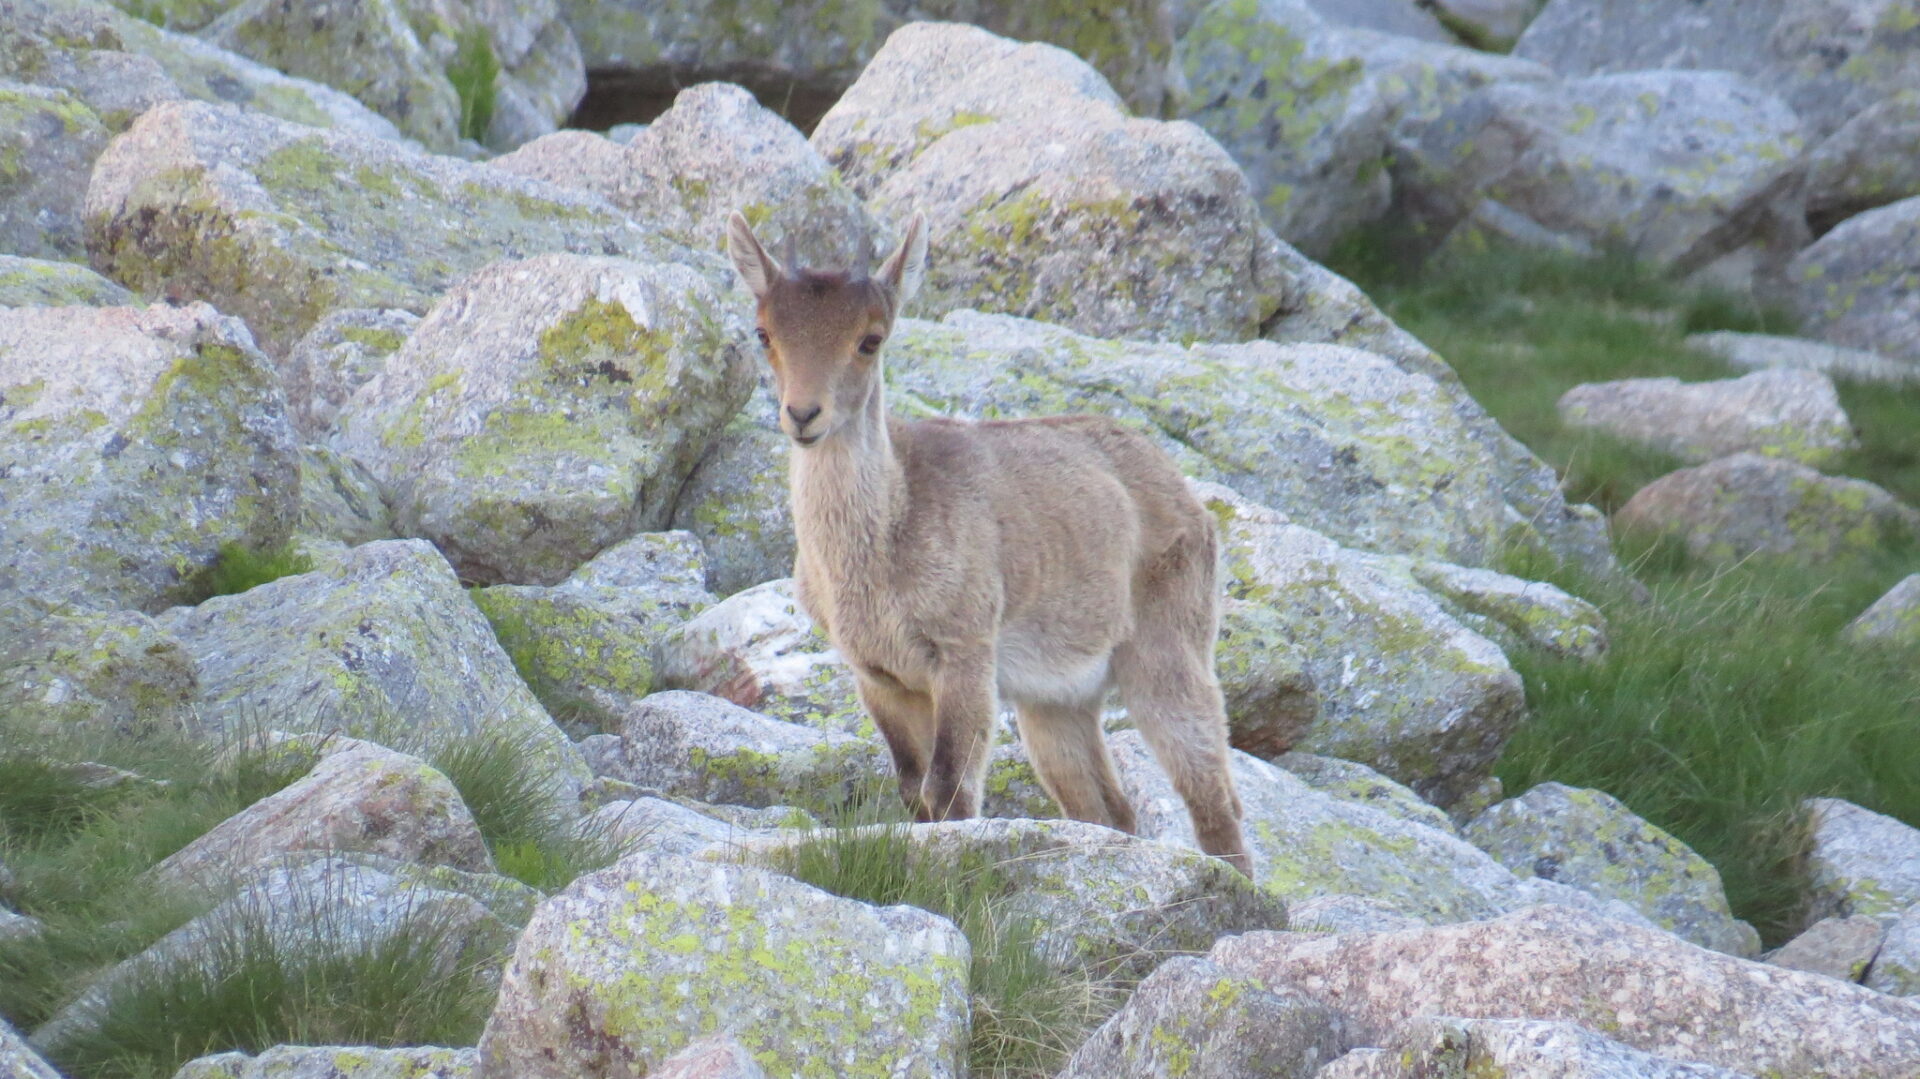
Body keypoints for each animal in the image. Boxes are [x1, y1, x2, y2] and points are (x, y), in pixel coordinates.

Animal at [726, 211, 1250, 874]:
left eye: (871, 339)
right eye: (763, 332)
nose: (802, 414)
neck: (888, 538)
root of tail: (1187, 495)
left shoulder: (966, 652)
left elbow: (949, 787)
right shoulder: (878, 675)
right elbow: (912, 788)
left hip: (1169, 650)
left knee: (1213, 795)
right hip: (1054, 700)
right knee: (1106, 807)